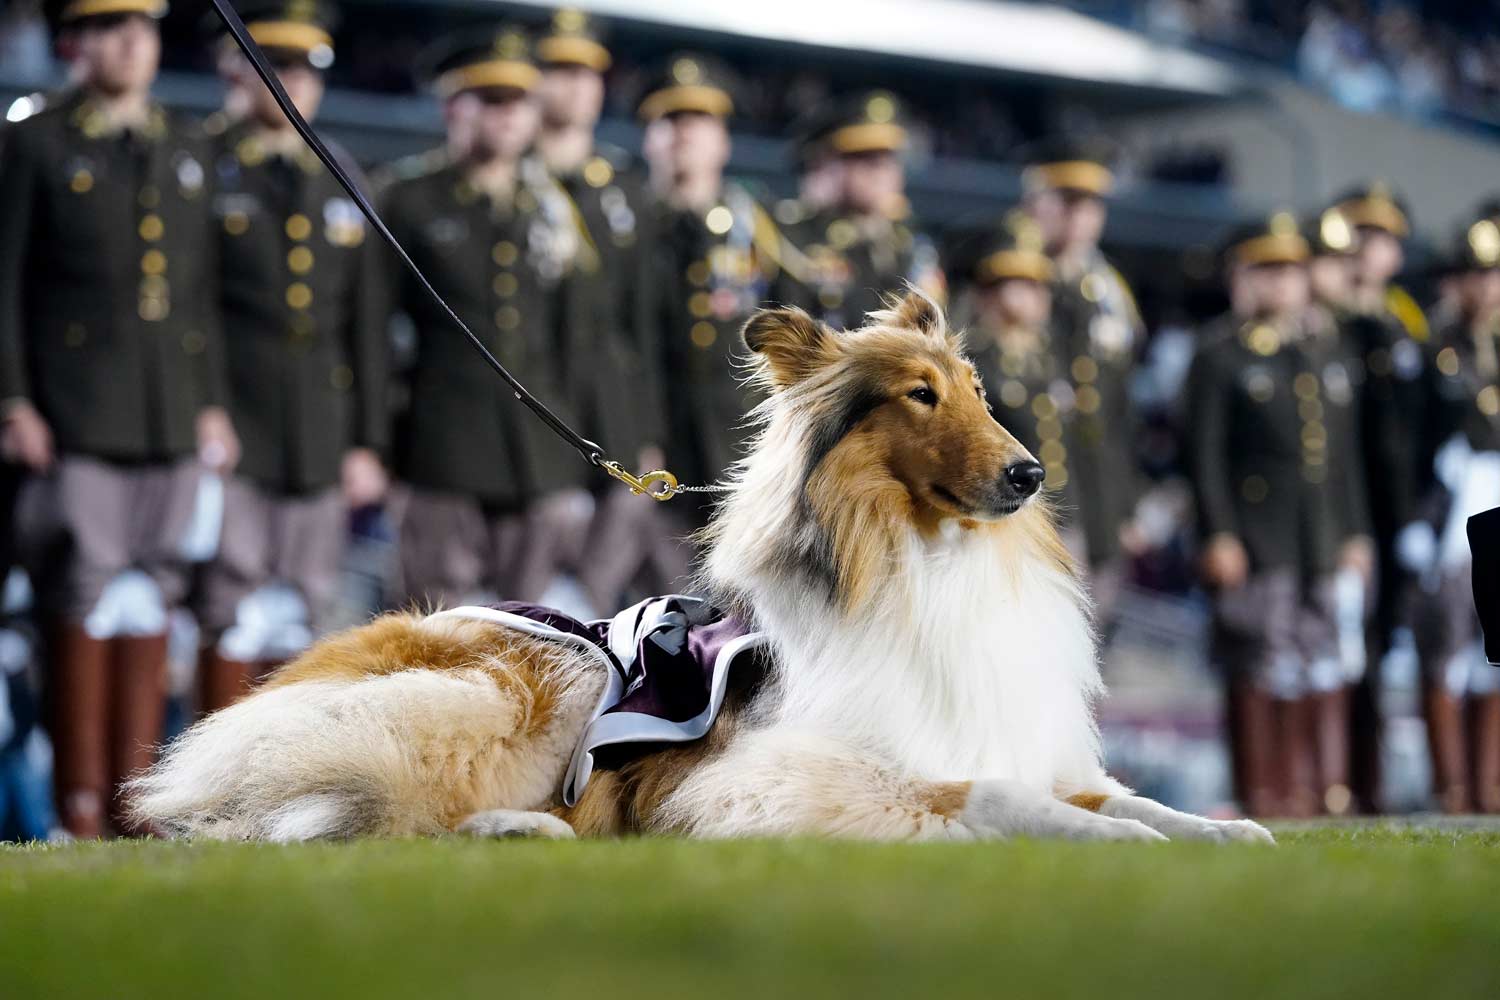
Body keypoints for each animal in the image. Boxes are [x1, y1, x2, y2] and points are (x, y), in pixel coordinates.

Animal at [135, 295, 1272, 845]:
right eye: (918, 394)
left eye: (978, 392)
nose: (1029, 473)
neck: (927, 566)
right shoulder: (765, 775)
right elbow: (993, 799)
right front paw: (1112, 842)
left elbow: (1123, 798)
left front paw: (1225, 833)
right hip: (509, 691)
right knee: (309, 822)